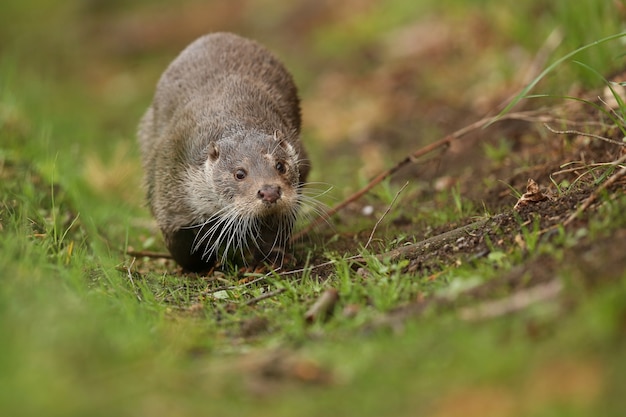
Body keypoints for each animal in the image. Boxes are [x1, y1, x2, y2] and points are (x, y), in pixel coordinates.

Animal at [139, 33, 310, 272]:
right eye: (239, 173)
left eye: (280, 165)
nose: (270, 192)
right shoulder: (169, 186)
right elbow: (180, 243)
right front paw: (200, 266)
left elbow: (274, 231)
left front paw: (275, 258)